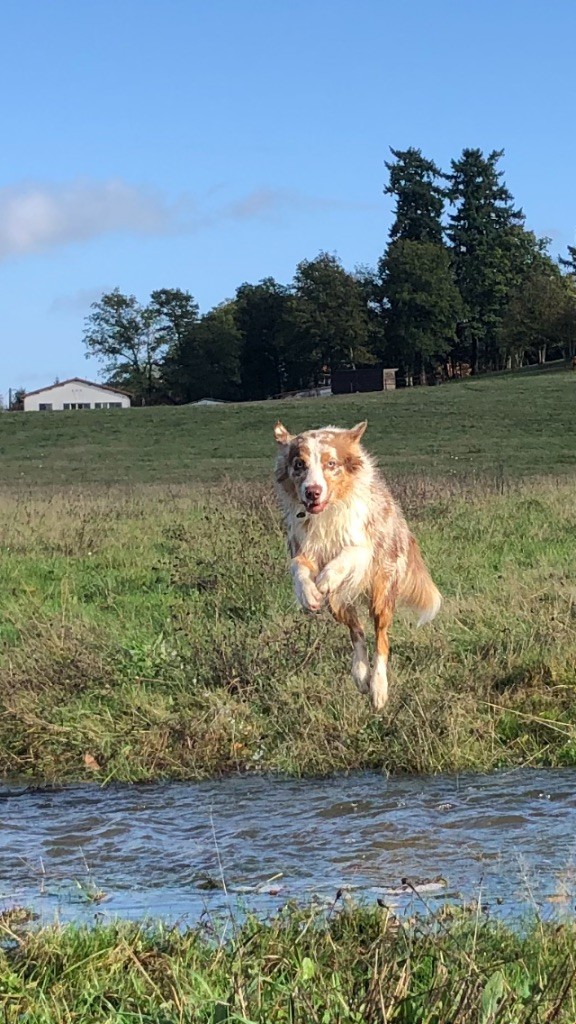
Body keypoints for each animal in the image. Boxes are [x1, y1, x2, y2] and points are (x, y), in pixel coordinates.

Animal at [273, 420, 441, 710]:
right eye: (299, 464)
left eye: (331, 463)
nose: (312, 492)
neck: (327, 514)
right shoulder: (302, 546)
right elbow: (298, 567)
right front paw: (308, 594)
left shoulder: (364, 544)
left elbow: (349, 553)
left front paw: (326, 578)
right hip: (339, 603)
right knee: (357, 632)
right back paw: (361, 674)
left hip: (383, 593)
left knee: (381, 639)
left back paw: (378, 688)